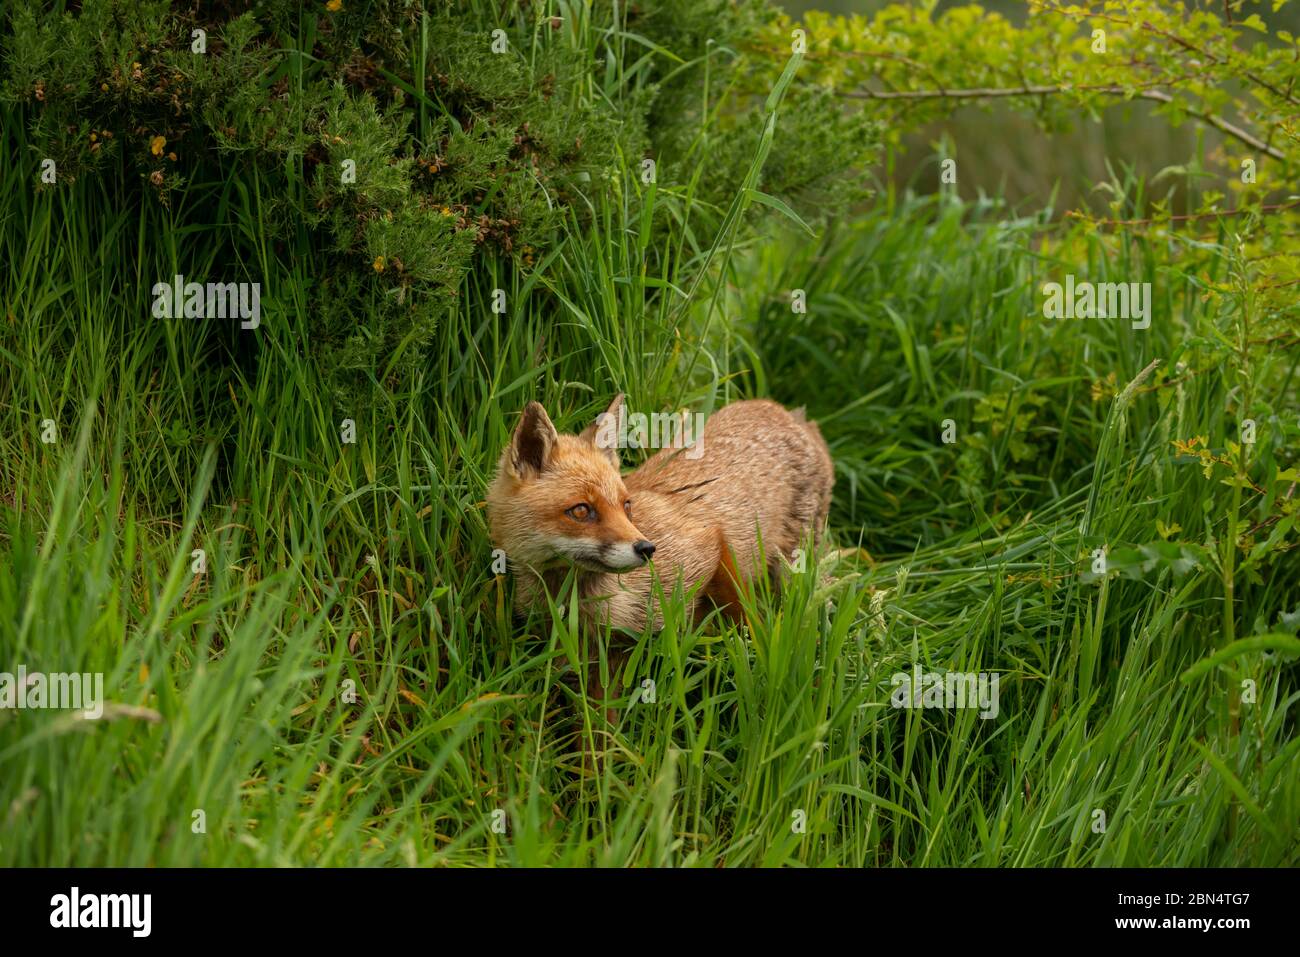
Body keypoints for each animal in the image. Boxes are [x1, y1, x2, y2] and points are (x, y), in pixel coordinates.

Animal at [486, 392, 832, 631]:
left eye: (626, 506)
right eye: (582, 511)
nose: (647, 548)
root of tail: (786, 413)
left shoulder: (710, 546)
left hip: (793, 568)